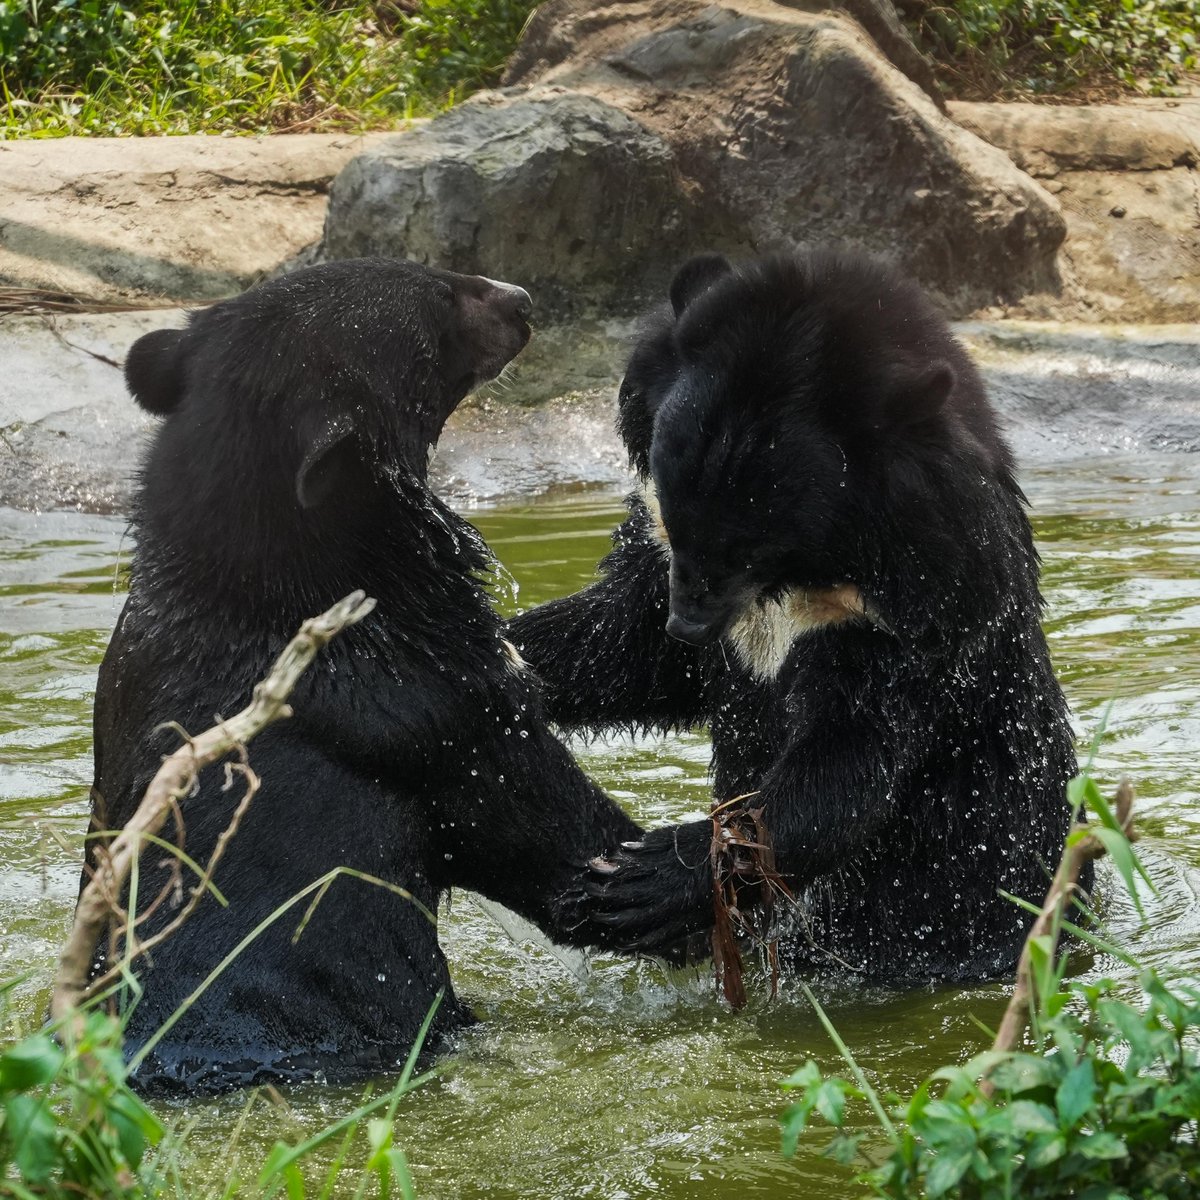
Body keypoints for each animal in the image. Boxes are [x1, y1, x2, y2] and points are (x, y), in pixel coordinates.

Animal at [511, 249, 1082, 983]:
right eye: (679, 515)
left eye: (752, 542)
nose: (689, 625)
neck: (804, 577)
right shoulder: (659, 548)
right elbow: (623, 650)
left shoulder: (916, 608)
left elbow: (846, 766)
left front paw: (648, 879)